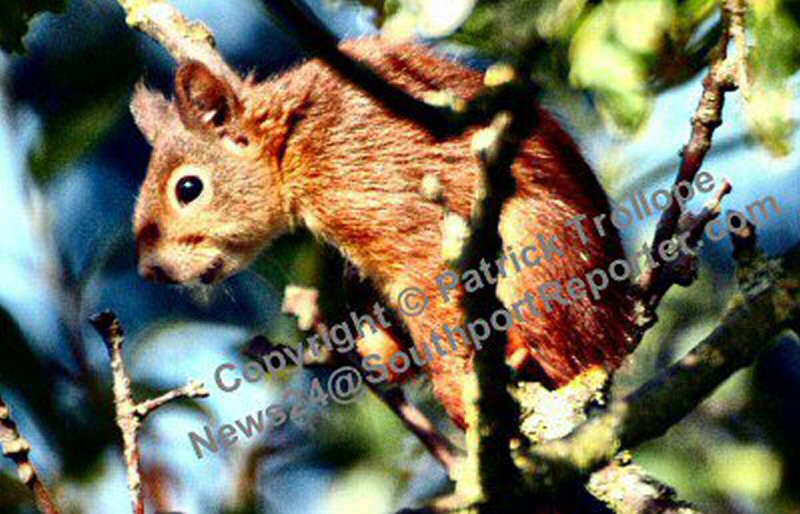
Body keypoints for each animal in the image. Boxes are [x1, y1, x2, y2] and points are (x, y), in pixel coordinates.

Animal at [131, 38, 635, 429]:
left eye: (188, 188)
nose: (150, 270)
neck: (292, 147)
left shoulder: (372, 194)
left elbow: (429, 284)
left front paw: (457, 392)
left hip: (538, 255)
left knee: (565, 351)